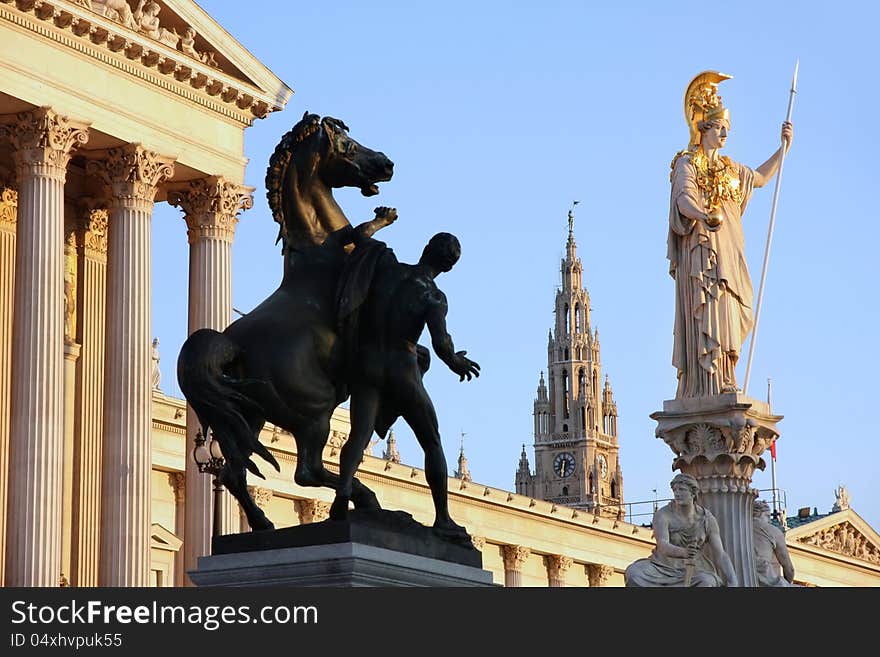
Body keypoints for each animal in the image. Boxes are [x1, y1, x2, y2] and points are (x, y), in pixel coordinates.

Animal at [177, 113, 394, 532]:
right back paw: (365, 499)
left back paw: (262, 523)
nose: (386, 163)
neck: (317, 244)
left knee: (233, 472)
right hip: (314, 410)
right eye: (347, 145)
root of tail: (231, 346)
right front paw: (379, 222)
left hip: (249, 414)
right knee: (307, 472)